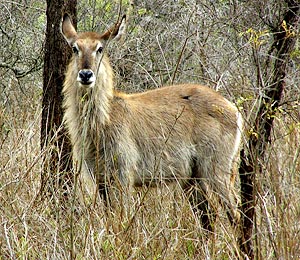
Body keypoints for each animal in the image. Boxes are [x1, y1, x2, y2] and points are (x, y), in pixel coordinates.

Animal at [61, 13, 244, 230]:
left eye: (100, 48)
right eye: (75, 48)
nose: (86, 74)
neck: (104, 120)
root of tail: (233, 109)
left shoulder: (124, 176)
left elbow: (122, 220)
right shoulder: (101, 180)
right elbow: (110, 219)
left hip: (217, 170)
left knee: (235, 214)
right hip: (193, 177)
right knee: (209, 216)